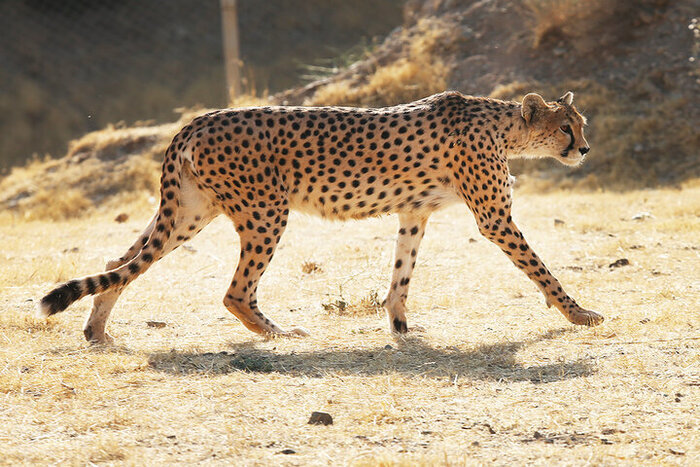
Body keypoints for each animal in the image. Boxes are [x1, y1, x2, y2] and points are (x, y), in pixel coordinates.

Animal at [41, 91, 604, 344]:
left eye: (581, 124)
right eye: (566, 127)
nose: (585, 148)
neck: (505, 126)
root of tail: (196, 120)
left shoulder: (414, 212)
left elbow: (401, 274)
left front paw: (399, 326)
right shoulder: (494, 218)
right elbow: (541, 269)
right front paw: (579, 313)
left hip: (189, 212)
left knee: (120, 262)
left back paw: (96, 331)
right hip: (265, 211)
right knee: (234, 291)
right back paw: (279, 334)